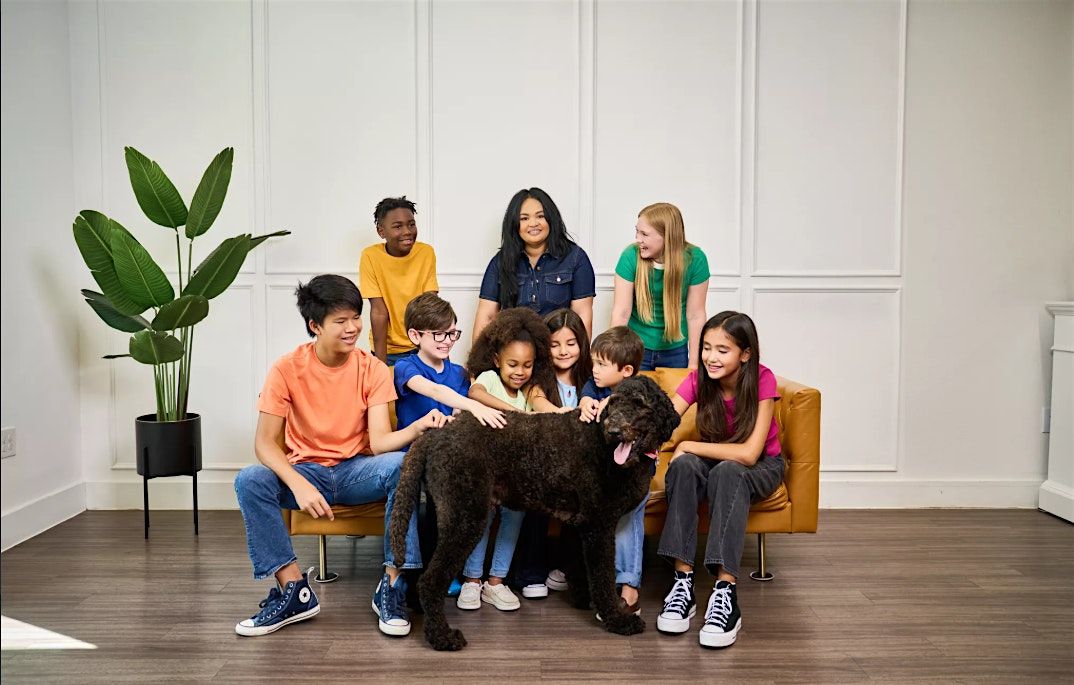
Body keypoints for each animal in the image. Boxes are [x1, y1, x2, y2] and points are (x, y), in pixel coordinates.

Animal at [389, 375, 680, 651]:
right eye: (615, 402)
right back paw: (442, 636)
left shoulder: (582, 525)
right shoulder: (598, 526)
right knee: (430, 580)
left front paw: (584, 599)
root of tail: (436, 433)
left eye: (640, 404)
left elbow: (582, 567)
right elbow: (603, 576)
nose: (614, 431)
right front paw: (617, 619)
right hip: (465, 518)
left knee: (422, 570)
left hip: (444, 514)